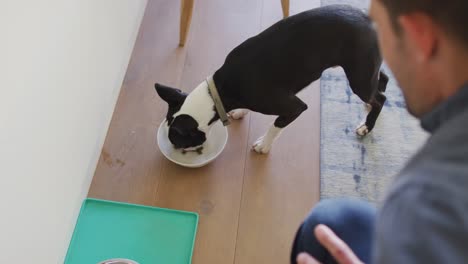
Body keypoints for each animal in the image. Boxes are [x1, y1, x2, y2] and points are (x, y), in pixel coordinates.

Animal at [155, 5, 390, 154]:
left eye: (178, 141)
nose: (176, 149)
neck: (218, 93)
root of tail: (370, 19)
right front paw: (240, 111)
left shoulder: (294, 107)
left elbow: (276, 125)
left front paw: (263, 145)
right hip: (366, 69)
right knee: (383, 78)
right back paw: (370, 106)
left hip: (358, 78)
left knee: (380, 98)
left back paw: (366, 125)